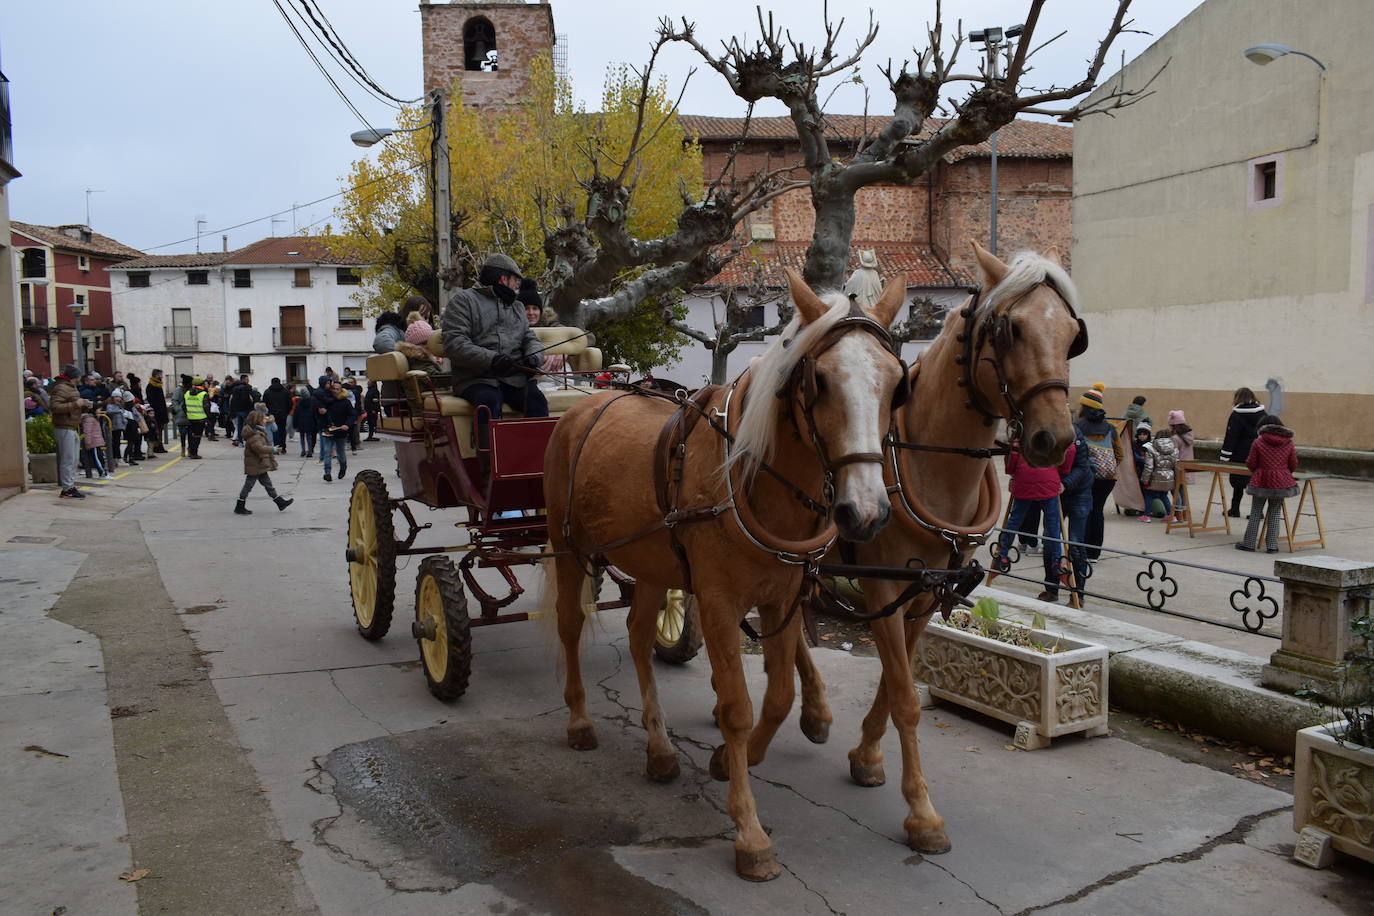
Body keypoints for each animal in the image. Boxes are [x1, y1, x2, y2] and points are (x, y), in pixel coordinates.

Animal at [546, 270, 912, 878]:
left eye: (895, 384)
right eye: (821, 381)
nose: (866, 512)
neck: (748, 477)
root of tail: (583, 404)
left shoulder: (782, 599)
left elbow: (781, 695)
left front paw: (727, 760)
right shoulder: (718, 604)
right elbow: (738, 708)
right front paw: (749, 832)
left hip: (652, 565)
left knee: (639, 638)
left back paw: (659, 749)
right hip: (567, 548)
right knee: (570, 627)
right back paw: (578, 721)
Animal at [774, 241, 1082, 851]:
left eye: (1071, 335)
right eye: (1010, 329)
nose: (1053, 439)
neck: (925, 461)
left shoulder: (921, 593)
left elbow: (896, 686)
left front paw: (867, 756)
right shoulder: (881, 590)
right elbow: (907, 699)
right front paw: (921, 812)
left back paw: (816, 711)